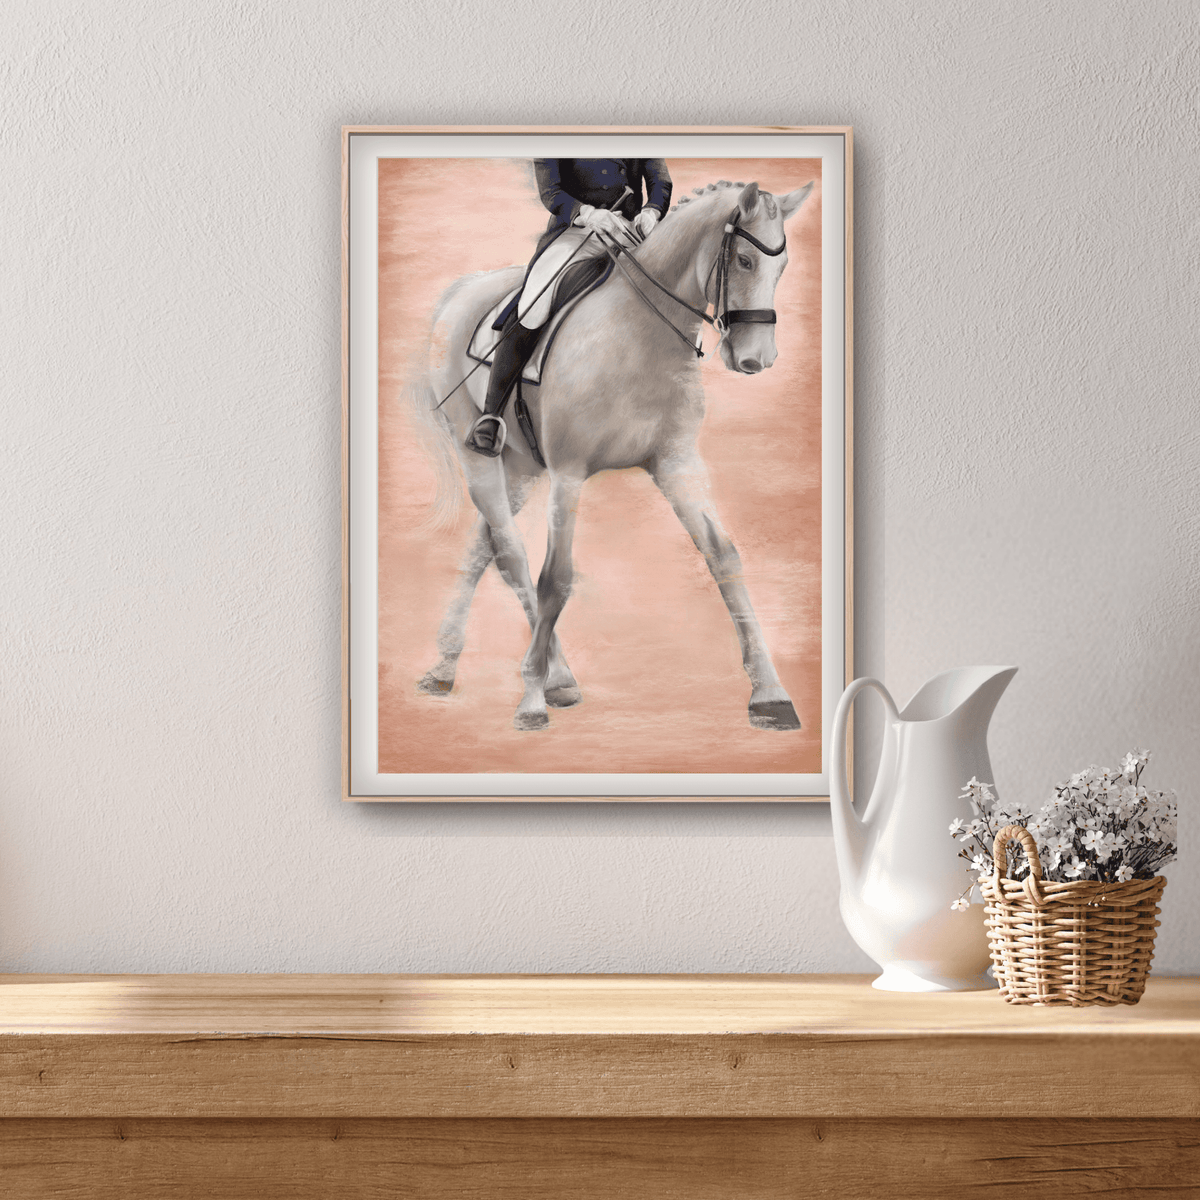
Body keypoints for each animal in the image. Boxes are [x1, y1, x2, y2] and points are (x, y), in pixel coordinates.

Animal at [409, 178, 814, 732]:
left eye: (784, 266)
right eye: (746, 261)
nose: (757, 360)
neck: (640, 332)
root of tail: (465, 289)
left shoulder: (677, 464)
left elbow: (724, 556)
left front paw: (770, 695)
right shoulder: (569, 474)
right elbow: (555, 579)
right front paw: (530, 700)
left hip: (520, 467)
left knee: (484, 548)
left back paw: (447, 668)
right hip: (479, 457)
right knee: (513, 555)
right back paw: (551, 678)